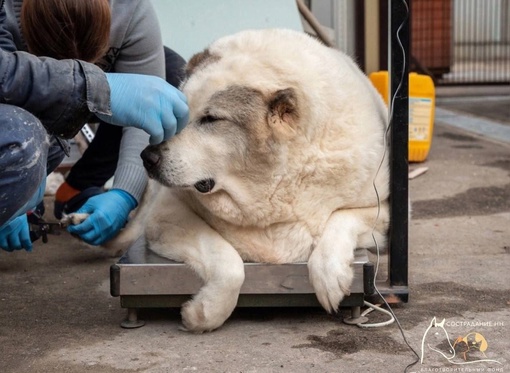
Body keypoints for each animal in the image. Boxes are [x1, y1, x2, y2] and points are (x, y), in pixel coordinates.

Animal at [72, 28, 390, 332]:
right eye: (178, 113)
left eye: (211, 119)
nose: (147, 157)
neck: (270, 187)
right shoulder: (166, 216)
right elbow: (230, 265)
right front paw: (204, 314)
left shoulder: (380, 209)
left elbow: (340, 220)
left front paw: (329, 276)